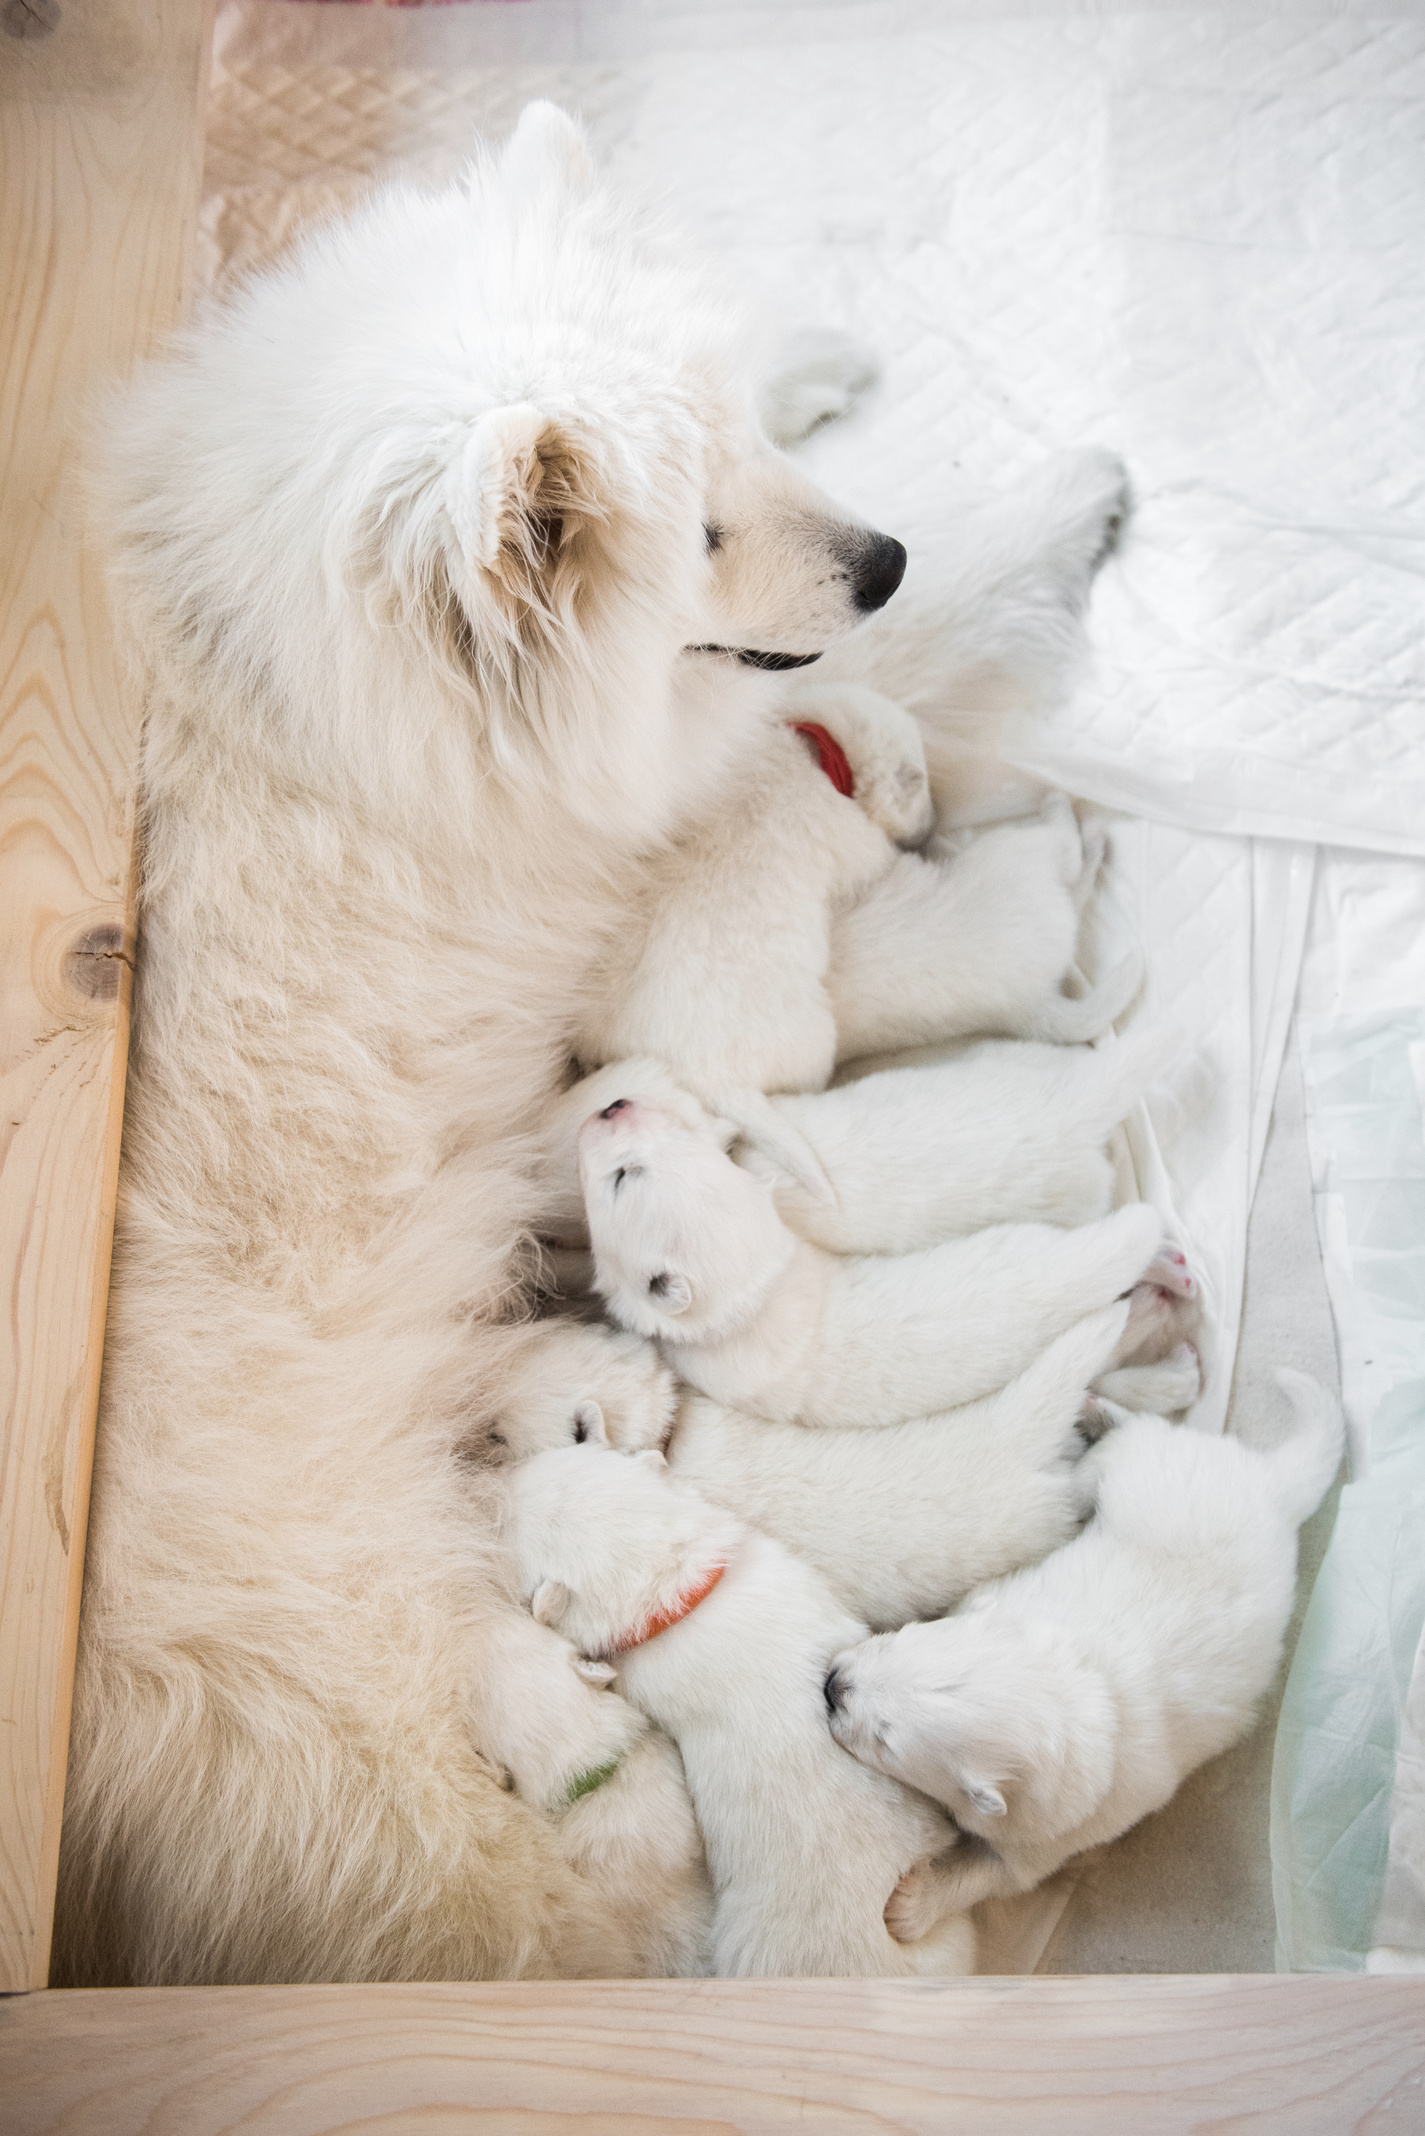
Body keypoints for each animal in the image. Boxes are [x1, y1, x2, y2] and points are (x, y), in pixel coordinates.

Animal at [824, 1375, 1350, 1930]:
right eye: (906, 1637)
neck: (1083, 1683)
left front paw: (908, 1908)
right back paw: (1094, 1413)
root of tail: (1272, 1486)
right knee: (1125, 1440)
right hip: (1141, 1467)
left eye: (885, 1740)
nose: (831, 1683)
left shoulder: (1054, 1830)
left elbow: (992, 1875)